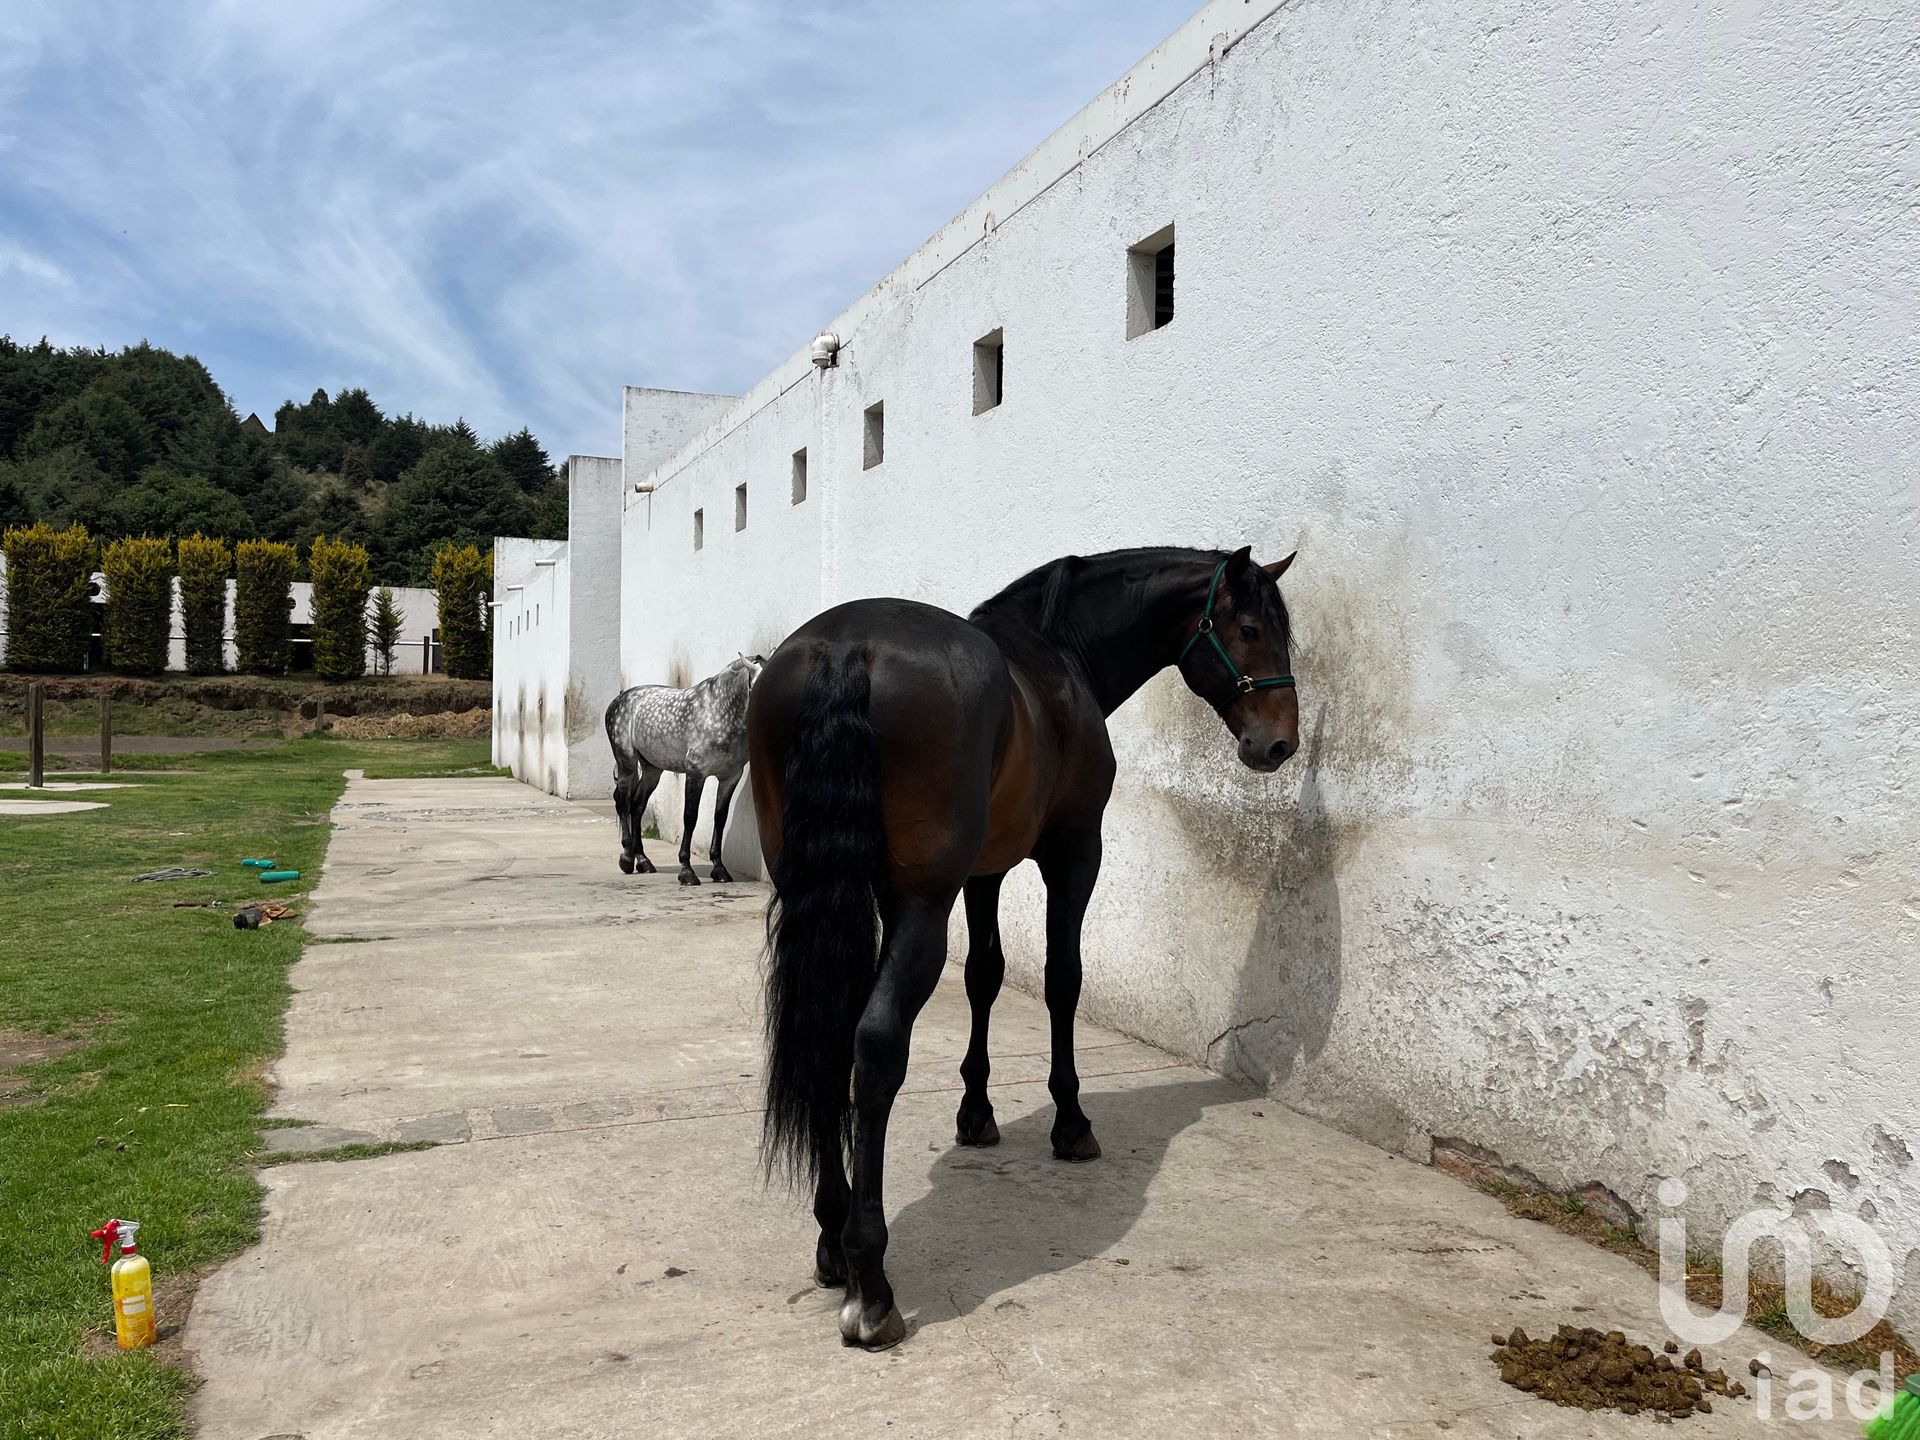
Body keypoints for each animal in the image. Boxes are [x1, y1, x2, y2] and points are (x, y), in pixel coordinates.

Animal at [610, 660, 768, 887]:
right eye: (757, 687)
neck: (718, 712)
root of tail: (620, 699)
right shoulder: (696, 773)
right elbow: (690, 817)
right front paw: (686, 871)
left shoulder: (730, 777)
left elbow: (720, 818)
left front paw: (719, 870)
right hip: (627, 765)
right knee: (623, 804)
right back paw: (626, 858)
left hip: (652, 770)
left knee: (637, 806)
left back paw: (643, 861)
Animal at [741, 545, 1297, 1351]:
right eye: (1251, 629)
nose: (1279, 742)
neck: (1058, 653)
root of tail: (844, 647)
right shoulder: (1073, 854)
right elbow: (1063, 979)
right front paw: (1071, 1122)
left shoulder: (985, 871)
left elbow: (986, 975)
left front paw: (976, 1114)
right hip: (921, 904)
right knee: (874, 1047)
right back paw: (871, 1284)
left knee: (824, 1031)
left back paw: (829, 1240)